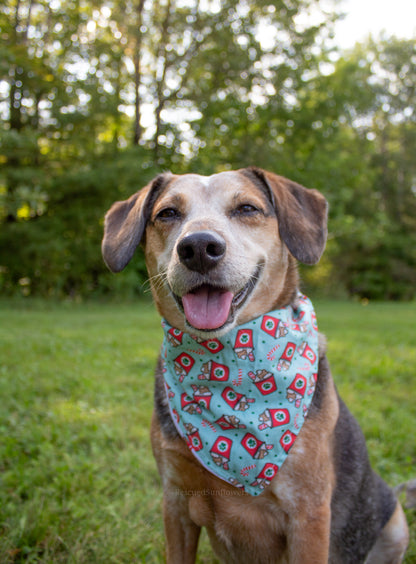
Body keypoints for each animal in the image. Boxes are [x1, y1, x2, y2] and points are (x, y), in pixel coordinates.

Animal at [101, 167, 410, 564]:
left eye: (247, 208)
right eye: (168, 213)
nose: (198, 248)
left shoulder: (308, 515)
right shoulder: (175, 503)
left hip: (396, 522)